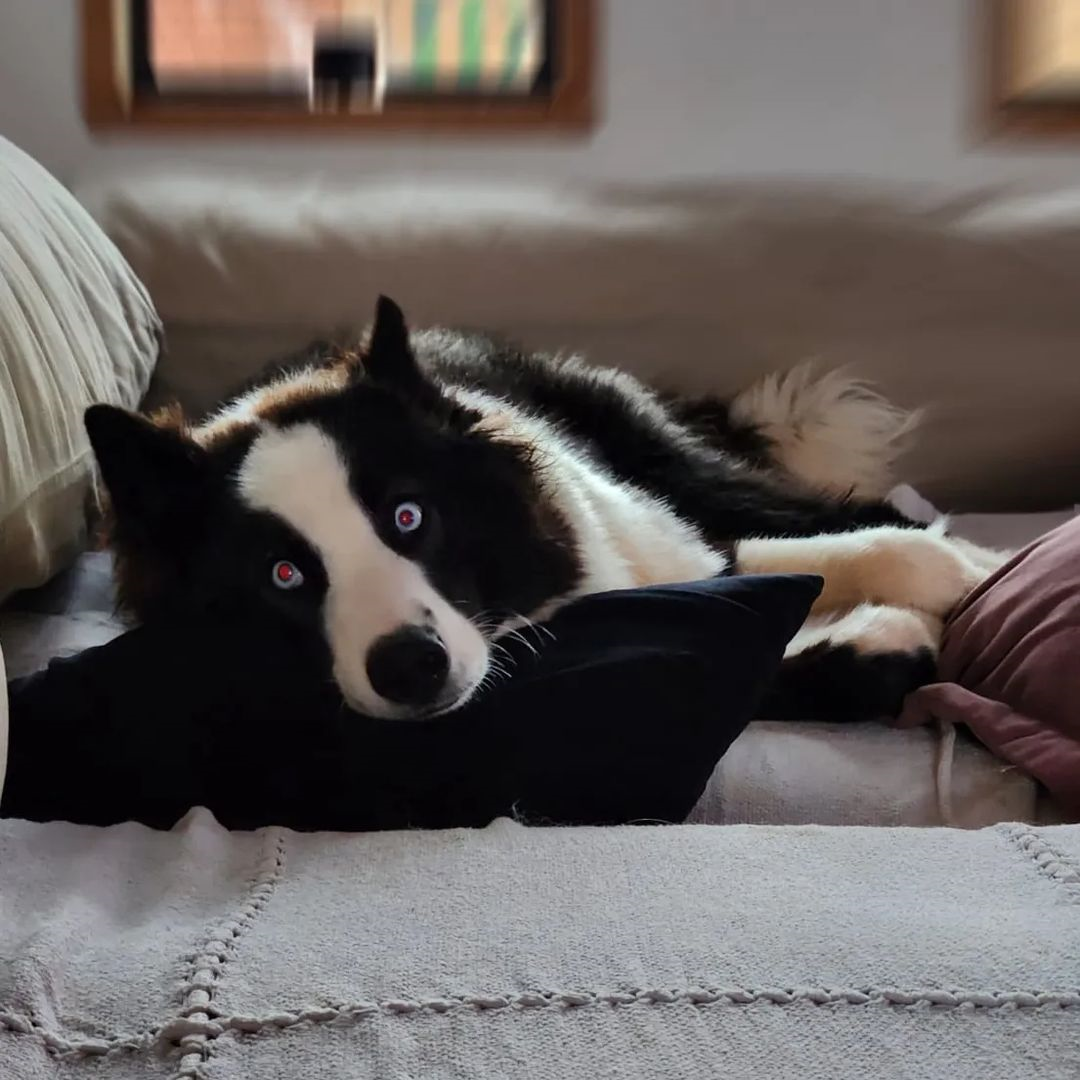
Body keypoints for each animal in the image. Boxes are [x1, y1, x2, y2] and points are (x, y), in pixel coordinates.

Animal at [84, 293, 1002, 725]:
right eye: (283, 575)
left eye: (409, 518)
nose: (410, 670)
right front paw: (885, 637)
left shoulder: (683, 549)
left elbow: (874, 549)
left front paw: (974, 576)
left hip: (672, 461)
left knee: (846, 507)